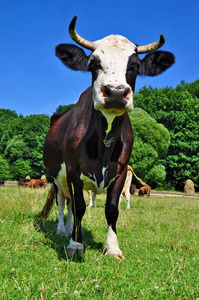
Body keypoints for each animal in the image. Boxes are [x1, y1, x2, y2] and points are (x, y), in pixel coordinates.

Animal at [38, 15, 174, 258]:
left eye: (134, 65)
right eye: (93, 63)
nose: (116, 93)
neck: (105, 142)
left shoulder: (120, 171)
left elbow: (112, 209)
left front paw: (112, 247)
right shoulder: (73, 171)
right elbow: (80, 207)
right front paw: (76, 244)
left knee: (69, 202)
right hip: (56, 176)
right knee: (63, 202)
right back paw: (63, 231)